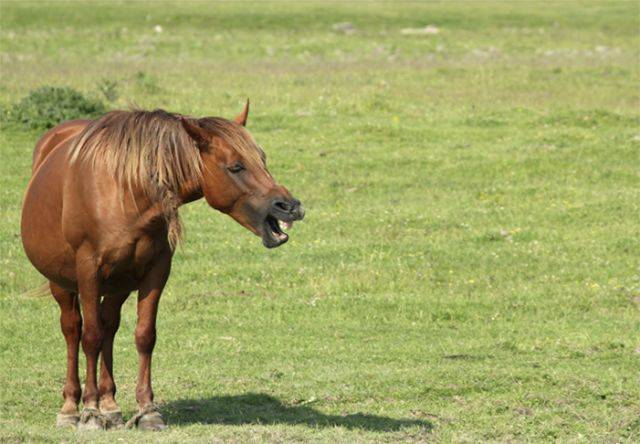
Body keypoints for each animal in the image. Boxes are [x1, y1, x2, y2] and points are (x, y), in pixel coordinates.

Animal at [21, 101, 306, 430]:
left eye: (263, 160)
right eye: (236, 167)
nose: (290, 207)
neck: (126, 190)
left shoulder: (156, 272)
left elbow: (144, 336)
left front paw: (147, 410)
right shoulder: (88, 269)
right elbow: (89, 338)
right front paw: (90, 412)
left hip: (118, 284)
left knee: (109, 326)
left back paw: (110, 405)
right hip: (62, 283)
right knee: (73, 330)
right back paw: (72, 407)